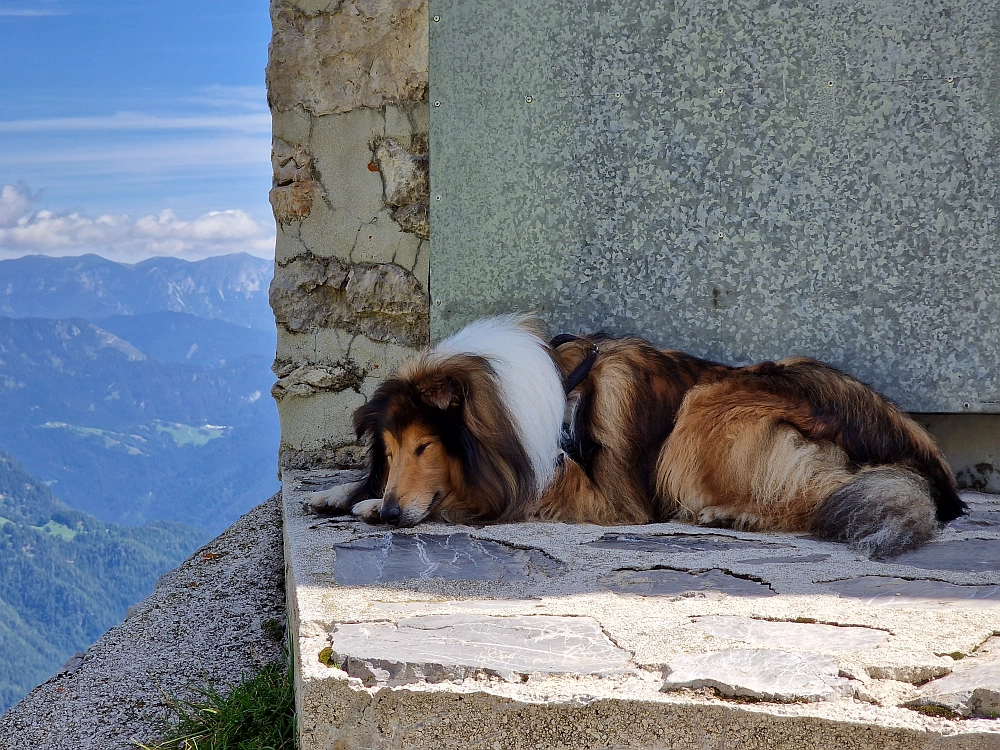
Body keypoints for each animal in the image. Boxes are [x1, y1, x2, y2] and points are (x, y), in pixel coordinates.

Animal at [308, 314, 964, 556]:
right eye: (390, 450)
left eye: (426, 447)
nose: (396, 514)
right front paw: (344, 493)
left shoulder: (595, 495)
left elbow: (473, 500)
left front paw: (369, 505)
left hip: (706, 409)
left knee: (820, 497)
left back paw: (733, 514)